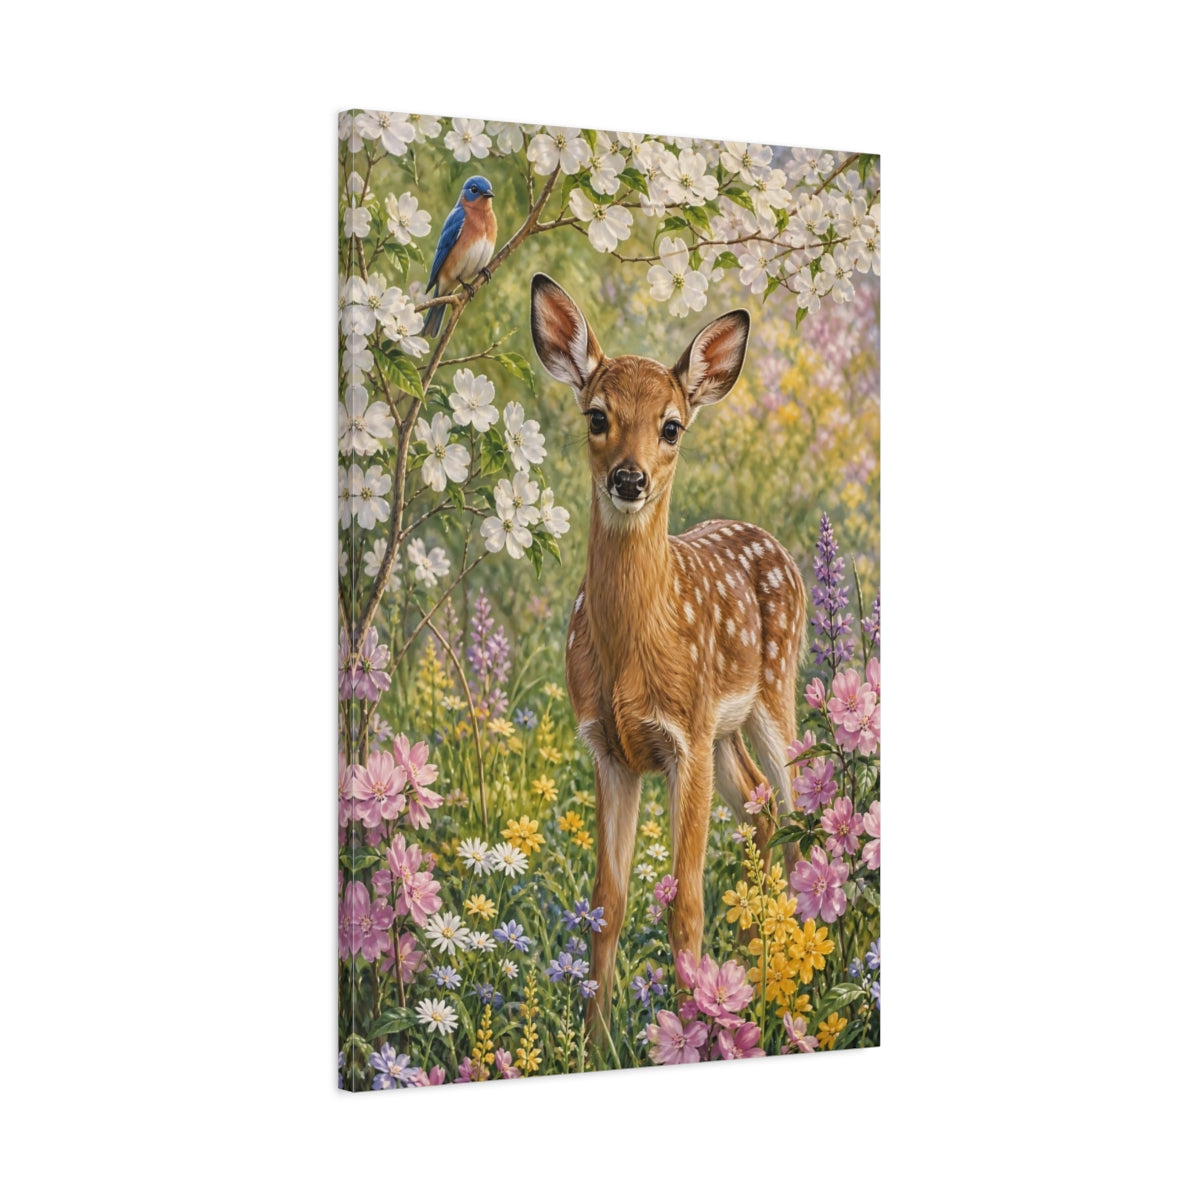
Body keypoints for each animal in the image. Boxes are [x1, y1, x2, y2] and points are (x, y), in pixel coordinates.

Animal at [529, 274, 807, 1043]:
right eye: (597, 415)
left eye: (672, 426)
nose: (629, 479)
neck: (631, 649)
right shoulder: (608, 747)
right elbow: (608, 902)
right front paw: (596, 1041)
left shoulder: (684, 736)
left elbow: (685, 904)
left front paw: (688, 1030)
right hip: (723, 736)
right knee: (760, 811)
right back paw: (755, 963)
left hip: (770, 697)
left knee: (797, 813)